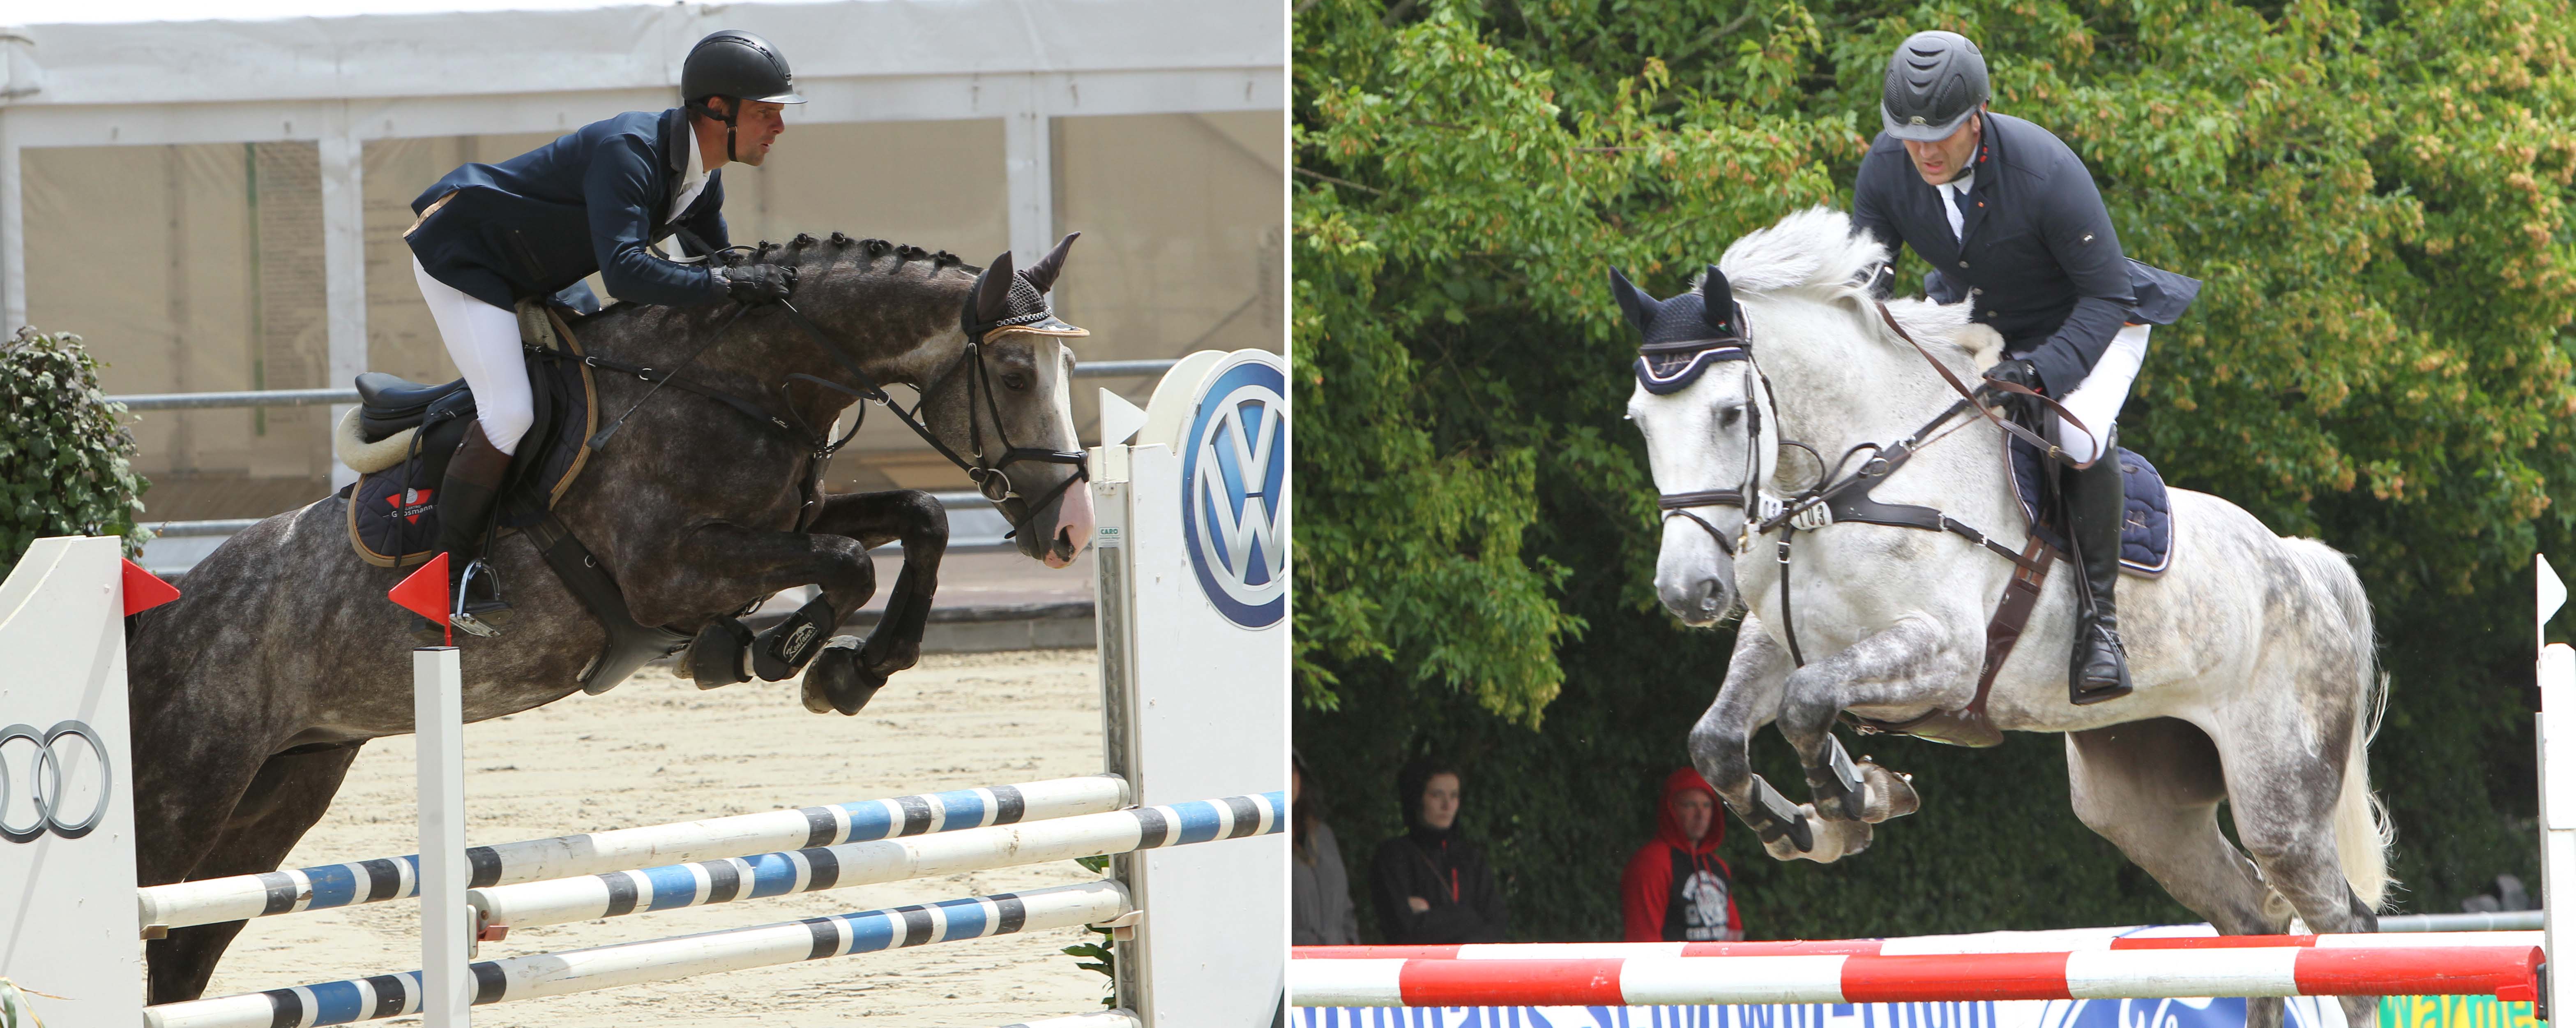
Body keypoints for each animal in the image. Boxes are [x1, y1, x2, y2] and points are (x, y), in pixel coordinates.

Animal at [131, 232, 1097, 1000]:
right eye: (1015, 373)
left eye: (1066, 372)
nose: (1071, 532)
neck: (738, 381)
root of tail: (161, 614)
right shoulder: (668, 569)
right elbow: (850, 563)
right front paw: (784, 652)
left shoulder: (784, 522)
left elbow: (917, 521)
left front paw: (849, 668)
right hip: (188, 788)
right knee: (148, 904)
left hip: (284, 792)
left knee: (184, 954)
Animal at [1628, 205, 2390, 1025]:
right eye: (1639, 421)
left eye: (1730, 414)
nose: (1688, 591)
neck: (1847, 483)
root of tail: (2301, 565)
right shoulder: (1781, 642)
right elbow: (1717, 742)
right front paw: (1804, 824)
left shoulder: (1945, 655)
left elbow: (1807, 706)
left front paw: (1851, 801)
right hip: (2137, 802)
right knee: (2253, 919)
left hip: (2279, 800)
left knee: (2344, 931)